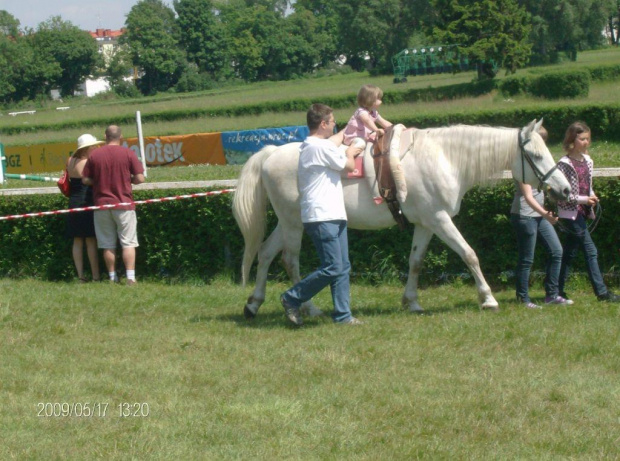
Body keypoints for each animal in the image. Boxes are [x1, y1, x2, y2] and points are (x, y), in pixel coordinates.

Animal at [234, 119, 572, 316]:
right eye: (537, 155)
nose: (566, 189)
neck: (445, 158)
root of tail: (270, 153)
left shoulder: (425, 223)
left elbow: (415, 261)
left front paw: (412, 302)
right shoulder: (440, 219)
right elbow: (469, 254)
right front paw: (487, 298)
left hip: (287, 222)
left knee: (265, 253)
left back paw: (254, 303)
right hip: (294, 224)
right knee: (290, 260)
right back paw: (307, 307)